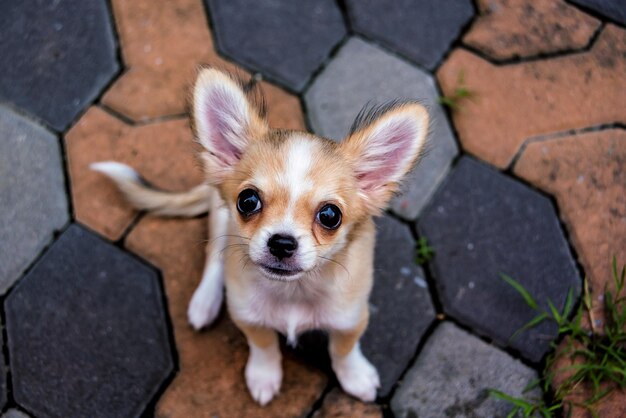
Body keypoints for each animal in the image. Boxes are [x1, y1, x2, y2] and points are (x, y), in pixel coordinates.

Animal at [90, 68, 426, 404]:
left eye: (330, 216)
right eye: (248, 201)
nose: (282, 243)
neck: (292, 292)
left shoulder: (351, 318)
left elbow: (343, 349)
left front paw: (355, 376)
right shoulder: (247, 316)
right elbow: (263, 345)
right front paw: (264, 376)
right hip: (220, 218)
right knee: (215, 257)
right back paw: (205, 302)